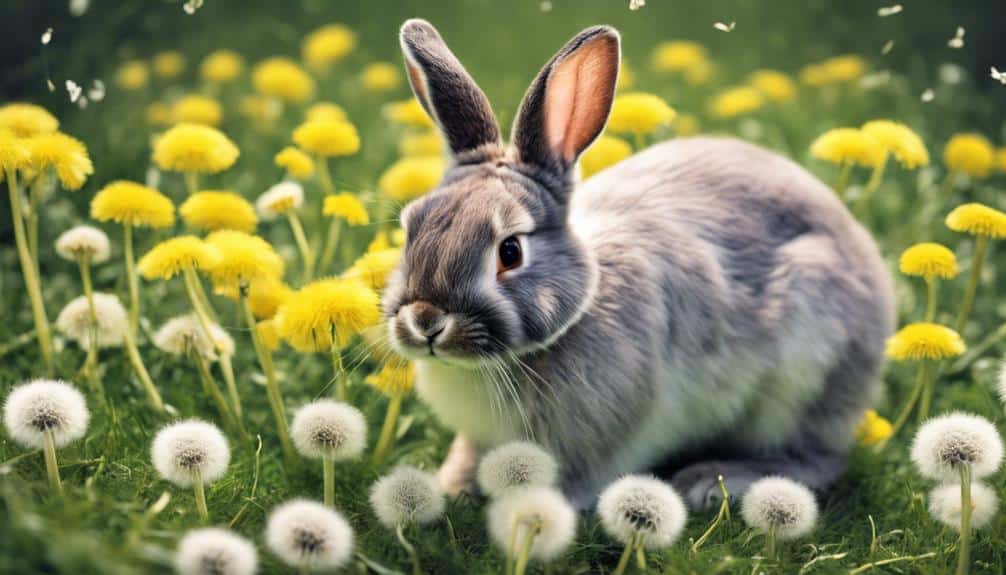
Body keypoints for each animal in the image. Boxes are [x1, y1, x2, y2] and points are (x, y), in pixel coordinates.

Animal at [384, 19, 895, 510]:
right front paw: (452, 485)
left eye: (510, 251)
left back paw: (710, 481)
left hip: (804, 380)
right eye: (411, 227)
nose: (426, 320)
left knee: (815, 459)